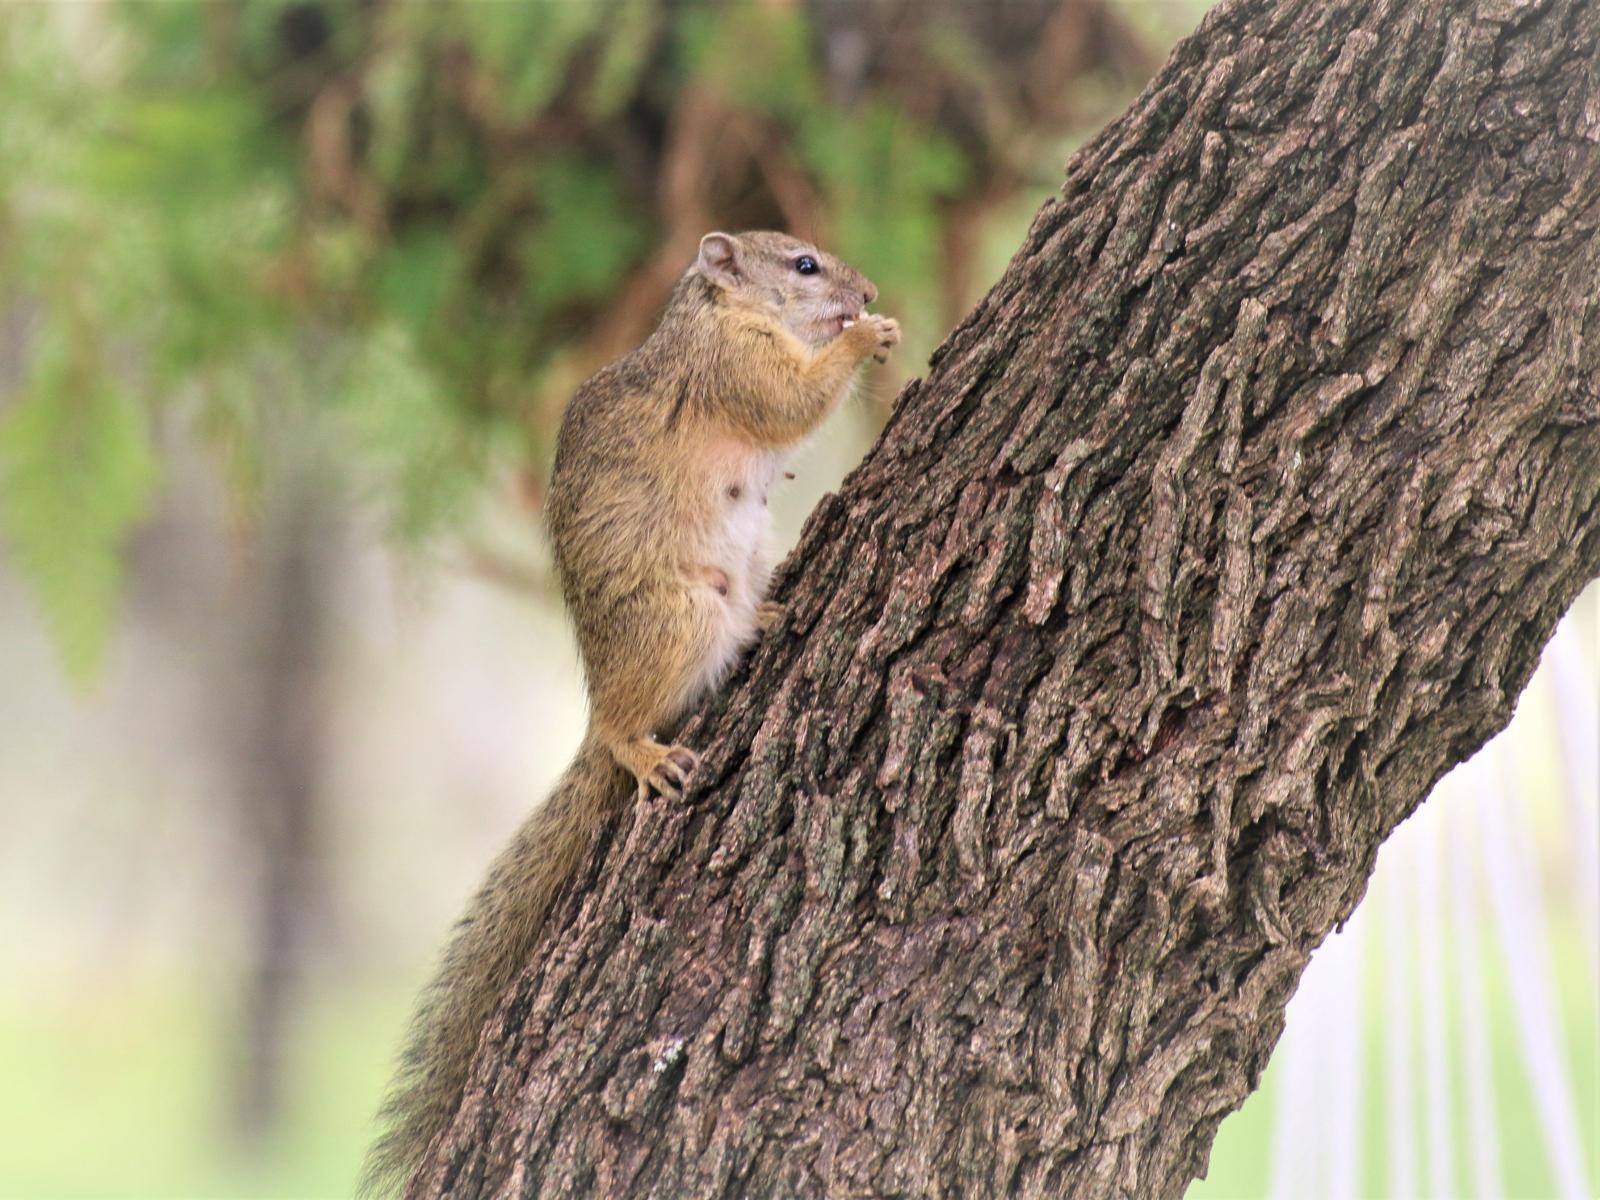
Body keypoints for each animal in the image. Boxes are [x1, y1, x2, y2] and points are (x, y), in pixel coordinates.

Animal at [362, 230, 900, 1197]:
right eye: (802, 266)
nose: (868, 290)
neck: (716, 314)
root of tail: (602, 692)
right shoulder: (730, 370)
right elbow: (790, 402)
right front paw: (864, 339)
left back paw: (769, 616)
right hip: (673, 622)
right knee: (623, 728)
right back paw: (647, 753)